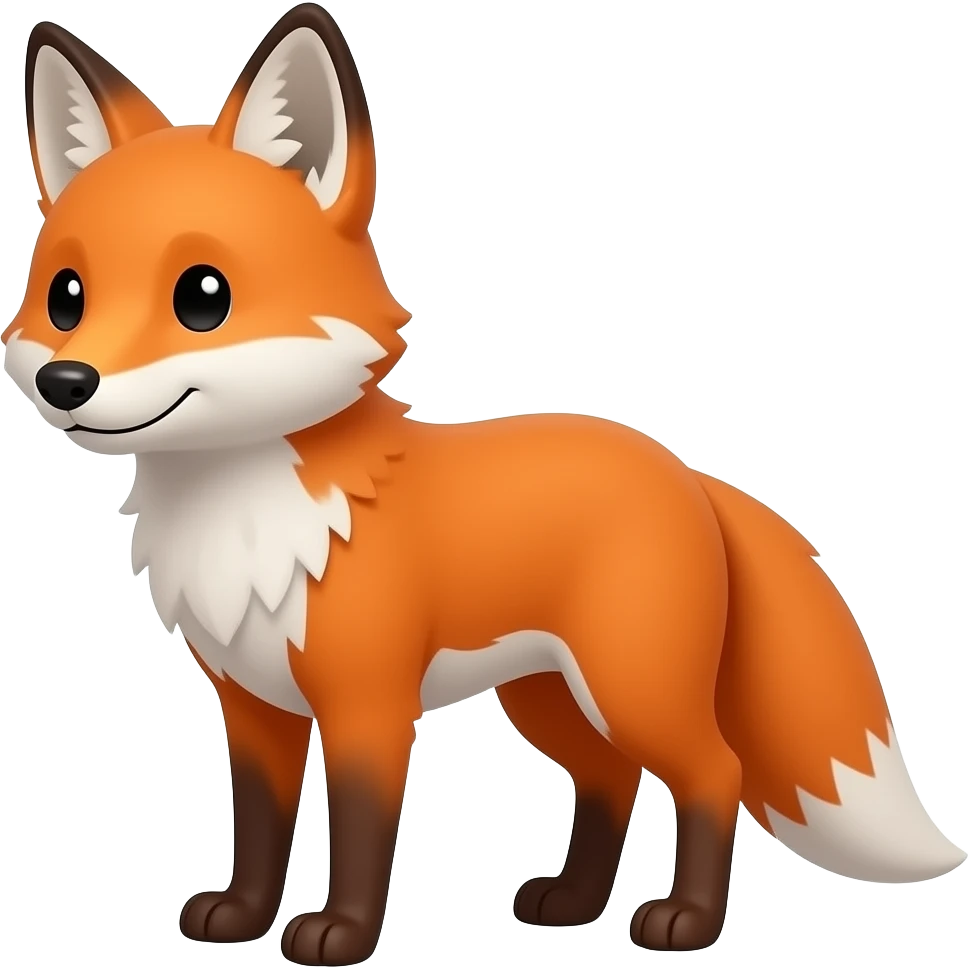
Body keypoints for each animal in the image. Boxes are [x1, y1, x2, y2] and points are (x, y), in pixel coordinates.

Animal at [5, 4, 965, 966]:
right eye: (66, 296)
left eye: (203, 297)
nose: (67, 382)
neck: (245, 519)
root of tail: (685, 471)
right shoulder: (253, 707)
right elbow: (261, 828)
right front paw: (241, 918)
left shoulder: (369, 704)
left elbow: (362, 831)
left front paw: (342, 934)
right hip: (548, 698)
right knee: (610, 778)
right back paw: (573, 903)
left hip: (630, 686)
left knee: (712, 770)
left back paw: (685, 920)